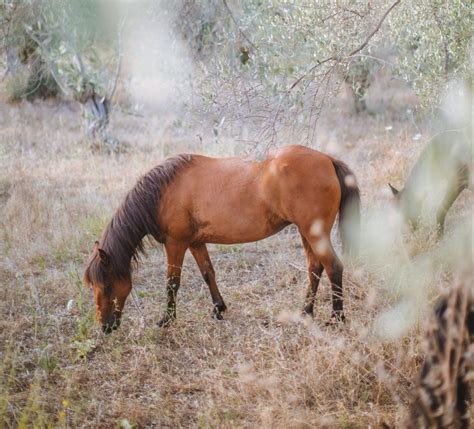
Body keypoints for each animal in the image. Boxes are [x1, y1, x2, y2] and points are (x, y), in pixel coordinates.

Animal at [84, 144, 360, 332]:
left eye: (106, 285)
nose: (105, 327)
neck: (163, 192)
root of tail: (328, 159)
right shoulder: (195, 243)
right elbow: (208, 273)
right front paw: (218, 309)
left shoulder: (175, 244)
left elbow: (172, 283)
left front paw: (167, 319)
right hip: (306, 234)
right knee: (315, 268)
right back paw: (305, 313)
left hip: (314, 233)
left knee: (333, 267)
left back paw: (336, 318)